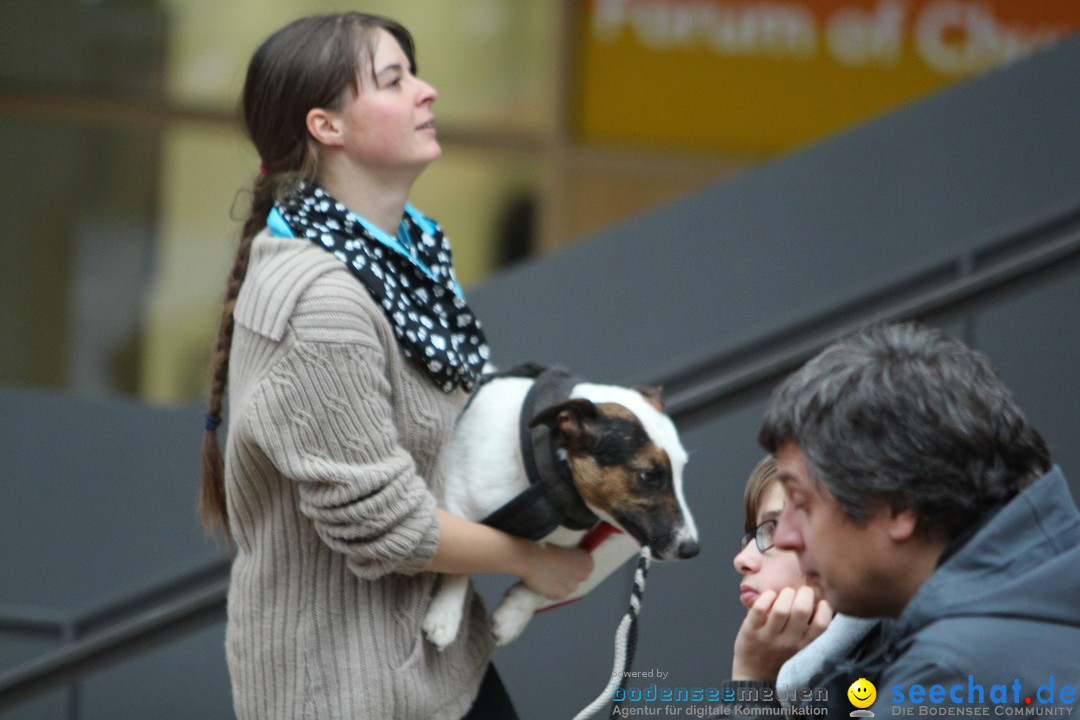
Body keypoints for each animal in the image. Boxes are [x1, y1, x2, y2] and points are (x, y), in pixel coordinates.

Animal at [421, 362, 699, 651]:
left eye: (681, 469)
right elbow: (459, 568)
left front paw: (513, 615)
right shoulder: (455, 506)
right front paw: (445, 616)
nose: (691, 548)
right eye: (648, 475)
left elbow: (542, 584)